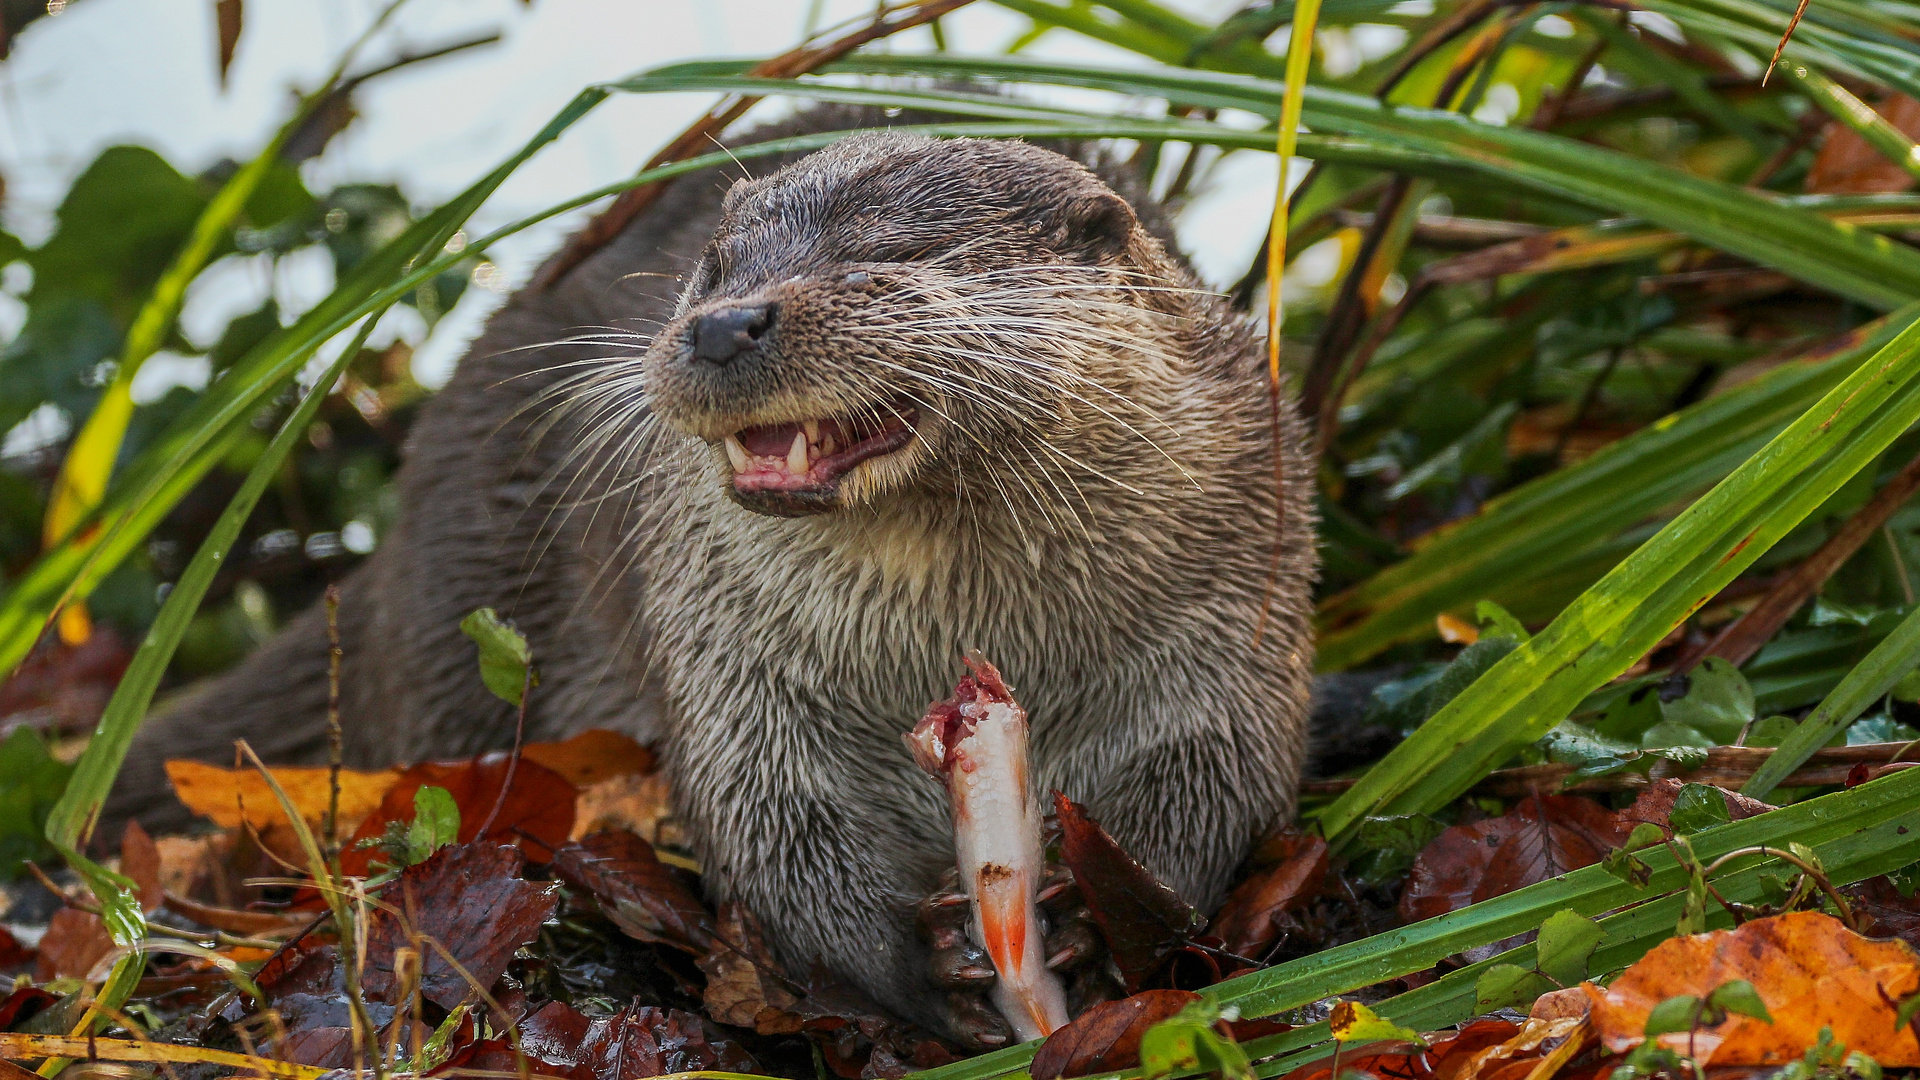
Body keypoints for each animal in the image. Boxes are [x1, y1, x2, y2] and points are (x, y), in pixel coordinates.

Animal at [108, 107, 1320, 1037]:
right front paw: (918, 961)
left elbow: (1218, 777)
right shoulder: (731, 660)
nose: (723, 323)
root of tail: (397, 545)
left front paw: (1103, 912)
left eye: (885, 255)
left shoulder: (1235, 591)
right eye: (713, 268)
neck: (958, 627)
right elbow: (771, 827)